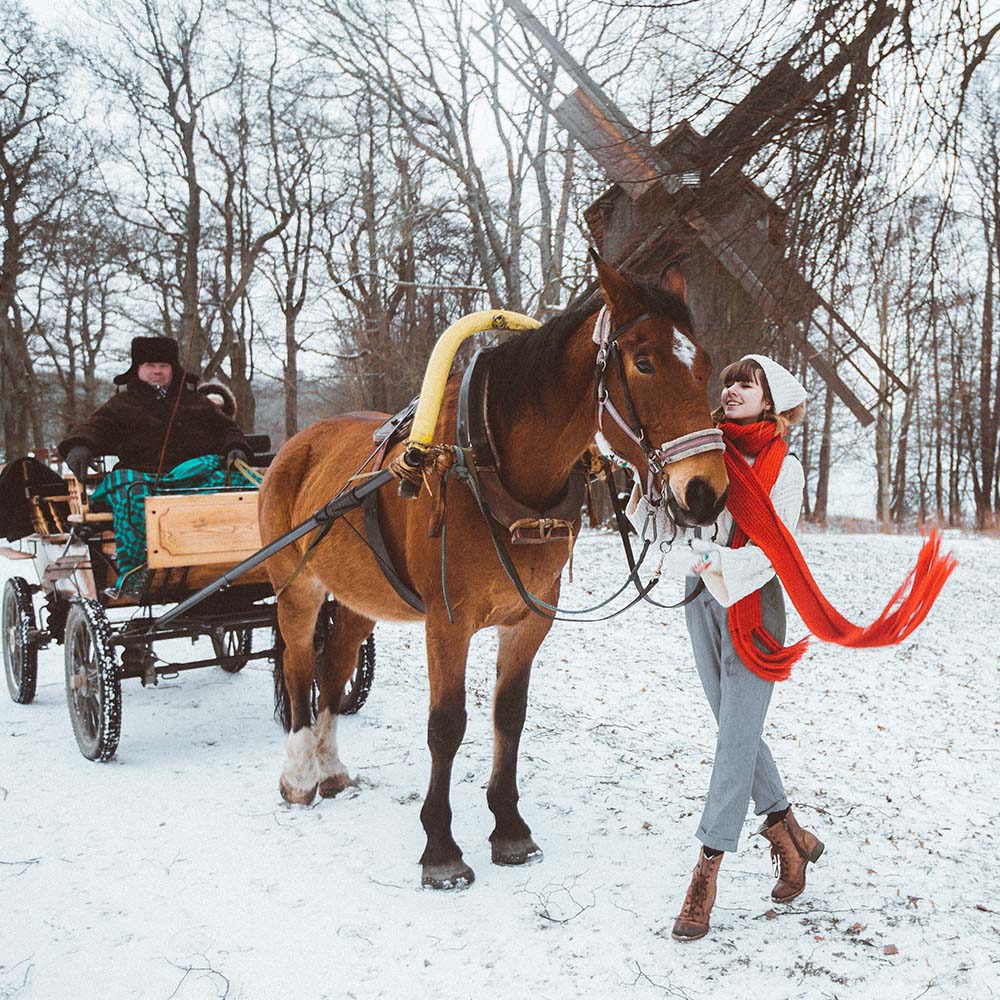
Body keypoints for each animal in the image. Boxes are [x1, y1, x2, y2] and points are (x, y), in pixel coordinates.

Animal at [258, 254, 728, 888]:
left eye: (703, 363)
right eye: (645, 361)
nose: (707, 491)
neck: (489, 465)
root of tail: (297, 444)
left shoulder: (528, 620)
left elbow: (510, 716)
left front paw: (508, 826)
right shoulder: (447, 623)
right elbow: (447, 724)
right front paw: (440, 846)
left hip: (359, 598)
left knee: (333, 667)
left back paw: (330, 768)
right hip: (298, 588)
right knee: (297, 666)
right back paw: (301, 775)